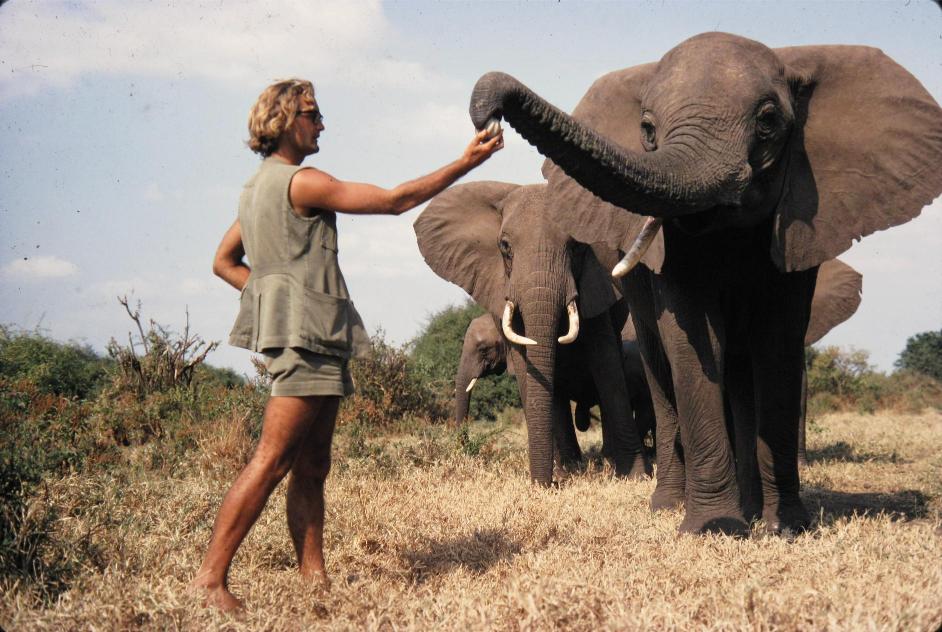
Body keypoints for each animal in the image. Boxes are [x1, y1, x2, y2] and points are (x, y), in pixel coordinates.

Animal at [415, 181, 651, 484]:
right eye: (504, 247)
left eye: (577, 246)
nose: (546, 484)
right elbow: (526, 363)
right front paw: (555, 478)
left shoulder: (596, 284)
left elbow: (606, 364)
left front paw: (635, 477)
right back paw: (570, 468)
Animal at [468, 32, 942, 533]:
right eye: (647, 130)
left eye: (768, 121)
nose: (488, 115)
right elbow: (693, 338)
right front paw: (716, 527)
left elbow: (778, 340)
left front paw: (785, 527)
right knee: (660, 365)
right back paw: (670, 505)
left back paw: (751, 508)